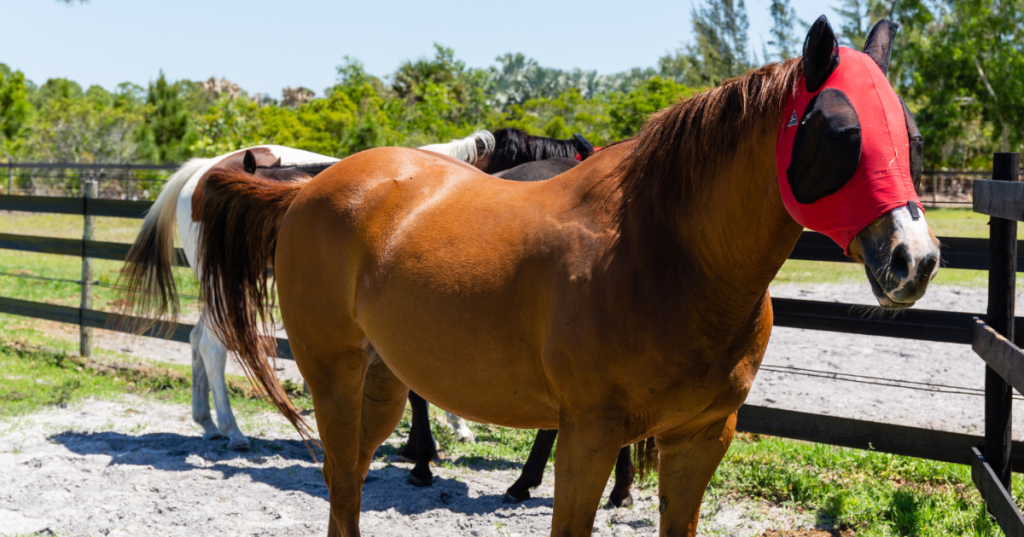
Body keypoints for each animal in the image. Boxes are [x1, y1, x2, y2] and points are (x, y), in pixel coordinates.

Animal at [118, 131, 495, 450]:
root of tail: (202, 171)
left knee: (197, 339)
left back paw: (208, 423)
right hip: (229, 287)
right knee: (213, 347)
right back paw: (232, 430)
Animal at [194, 18, 938, 534]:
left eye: (911, 135)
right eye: (841, 133)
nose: (916, 259)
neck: (663, 253)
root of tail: (311, 188)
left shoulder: (700, 439)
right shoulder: (589, 436)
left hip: (381, 384)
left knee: (349, 480)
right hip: (335, 377)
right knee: (341, 478)